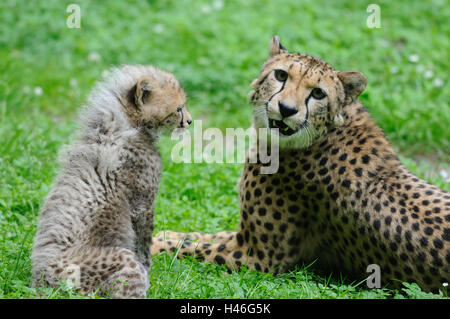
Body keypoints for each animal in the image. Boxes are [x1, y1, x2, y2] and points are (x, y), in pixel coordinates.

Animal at [153, 36, 448, 294]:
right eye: (281, 76)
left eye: (318, 93)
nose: (286, 109)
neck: (324, 132)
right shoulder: (242, 237)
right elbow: (202, 236)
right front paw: (167, 232)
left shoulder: (257, 257)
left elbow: (189, 248)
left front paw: (157, 242)